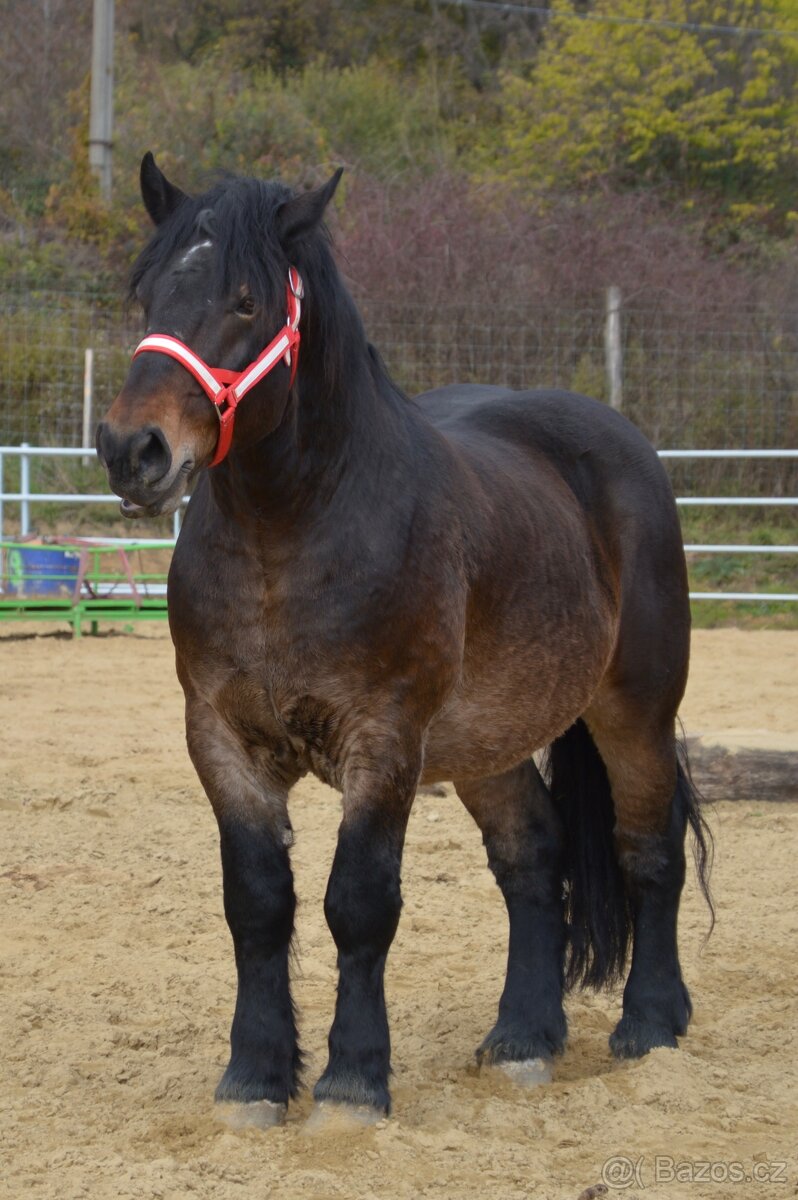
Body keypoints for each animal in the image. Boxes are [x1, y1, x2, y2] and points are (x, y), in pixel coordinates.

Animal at [96, 154, 710, 1128]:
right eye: (147, 292)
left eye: (246, 301)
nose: (132, 449)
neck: (289, 535)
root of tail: (618, 439)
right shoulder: (220, 740)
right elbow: (257, 903)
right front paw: (255, 1078)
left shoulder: (381, 741)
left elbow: (359, 903)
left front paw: (353, 1082)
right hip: (487, 739)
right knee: (531, 857)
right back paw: (523, 1038)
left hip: (635, 710)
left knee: (648, 847)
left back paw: (650, 1024)